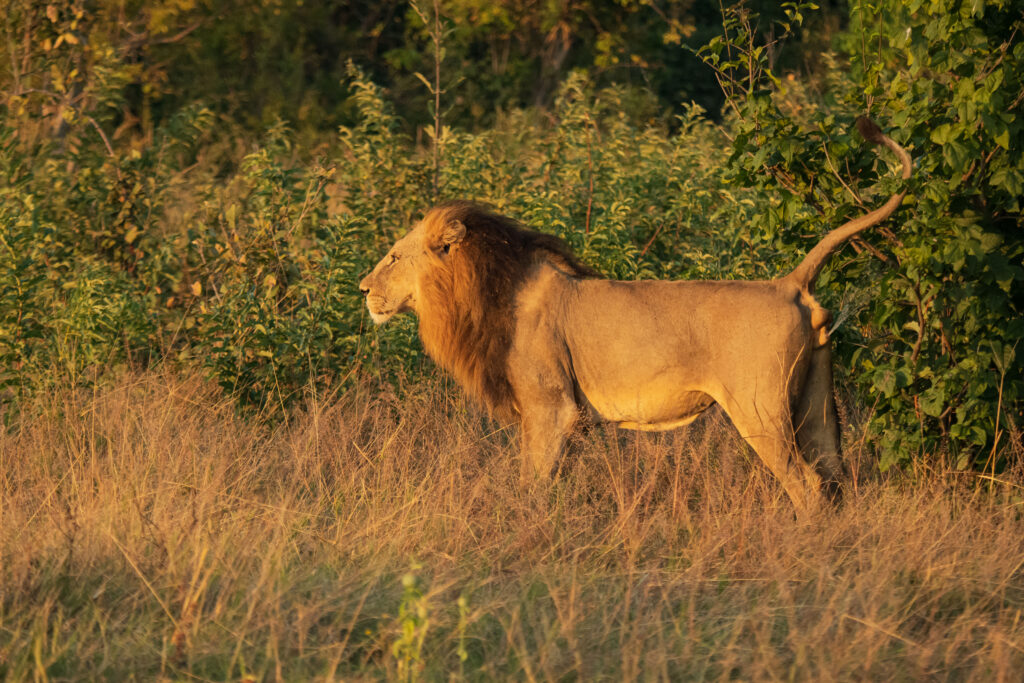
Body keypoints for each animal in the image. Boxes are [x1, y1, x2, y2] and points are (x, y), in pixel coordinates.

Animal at [359, 117, 911, 515]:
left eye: (393, 257)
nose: (362, 289)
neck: (483, 290)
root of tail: (789, 283)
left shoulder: (550, 406)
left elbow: (532, 482)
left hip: (760, 410)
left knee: (808, 487)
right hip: (817, 409)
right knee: (834, 480)